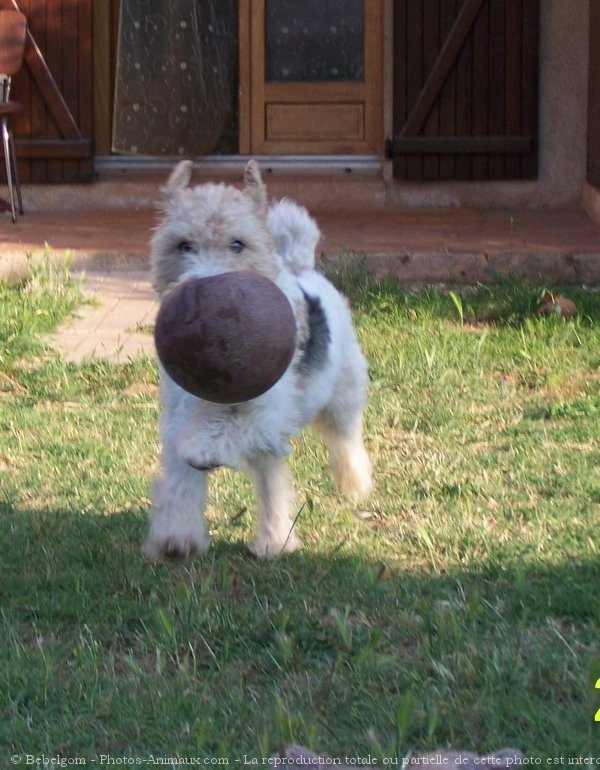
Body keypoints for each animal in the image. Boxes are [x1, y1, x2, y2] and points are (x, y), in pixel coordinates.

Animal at [143, 162, 372, 560]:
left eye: (238, 244)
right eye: (183, 244)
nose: (206, 296)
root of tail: (299, 263)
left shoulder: (268, 411)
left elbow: (226, 428)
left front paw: (205, 448)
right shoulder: (177, 419)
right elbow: (181, 480)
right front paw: (176, 537)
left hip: (342, 398)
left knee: (346, 441)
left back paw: (352, 486)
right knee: (274, 483)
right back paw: (274, 540)